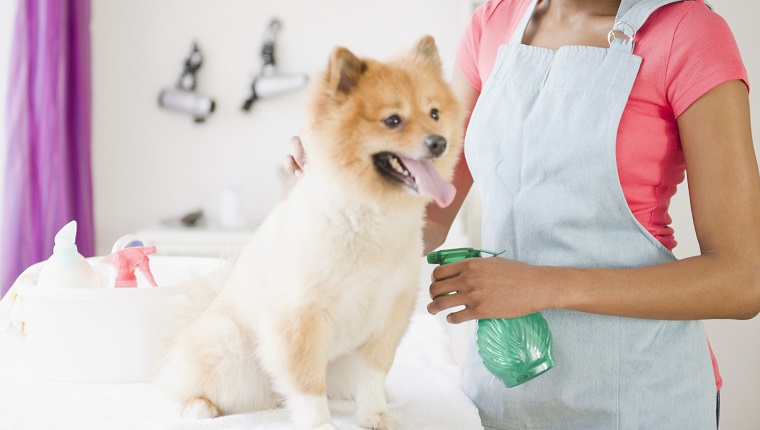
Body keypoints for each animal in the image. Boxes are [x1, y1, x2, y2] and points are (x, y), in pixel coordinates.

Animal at [155, 36, 464, 430]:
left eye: (435, 114)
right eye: (393, 120)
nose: (438, 142)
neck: (368, 217)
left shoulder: (390, 314)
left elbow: (374, 374)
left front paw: (375, 415)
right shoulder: (300, 318)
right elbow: (306, 384)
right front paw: (318, 424)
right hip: (227, 346)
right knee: (191, 384)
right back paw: (198, 406)